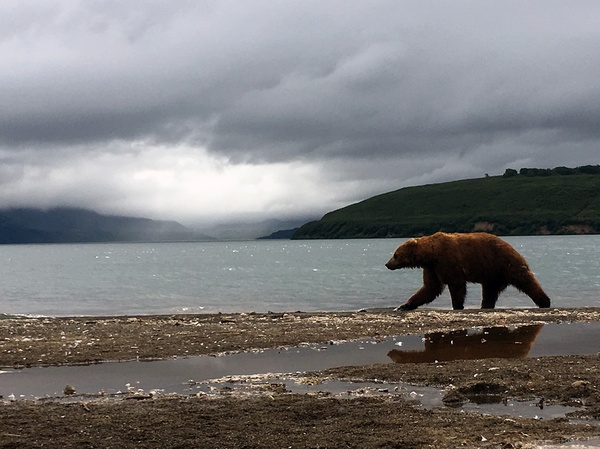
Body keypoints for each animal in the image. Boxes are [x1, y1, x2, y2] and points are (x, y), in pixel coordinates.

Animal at [386, 231, 552, 308]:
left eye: (395, 254)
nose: (387, 264)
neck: (431, 254)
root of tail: (511, 246)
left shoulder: (448, 260)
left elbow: (456, 285)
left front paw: (457, 305)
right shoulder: (432, 268)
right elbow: (431, 288)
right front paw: (404, 305)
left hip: (504, 263)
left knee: (526, 281)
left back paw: (544, 301)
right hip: (492, 274)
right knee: (490, 292)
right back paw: (485, 306)